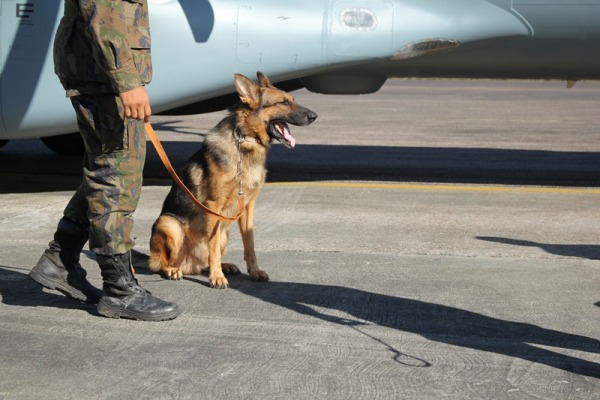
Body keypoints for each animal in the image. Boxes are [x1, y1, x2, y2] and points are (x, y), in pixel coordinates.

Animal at [149, 72, 318, 288]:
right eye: (283, 102)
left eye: (293, 100)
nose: (314, 116)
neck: (245, 139)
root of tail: (189, 264)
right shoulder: (213, 205)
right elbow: (212, 248)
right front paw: (217, 277)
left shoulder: (247, 206)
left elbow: (249, 243)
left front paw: (254, 271)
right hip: (170, 225)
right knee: (160, 263)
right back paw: (173, 269)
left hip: (224, 233)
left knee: (206, 261)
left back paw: (223, 266)